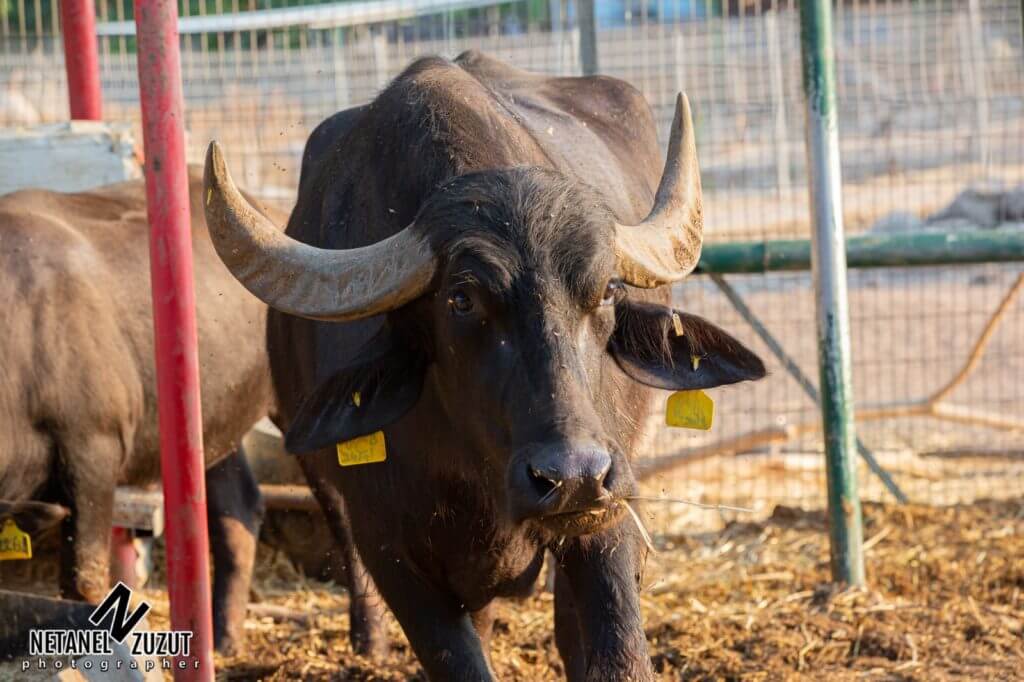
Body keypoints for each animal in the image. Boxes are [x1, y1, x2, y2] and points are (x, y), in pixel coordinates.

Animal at [201, 50, 761, 675]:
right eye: (461, 300)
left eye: (608, 289)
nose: (573, 477)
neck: (477, 474)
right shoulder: (393, 554)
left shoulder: (611, 512)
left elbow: (618, 653)